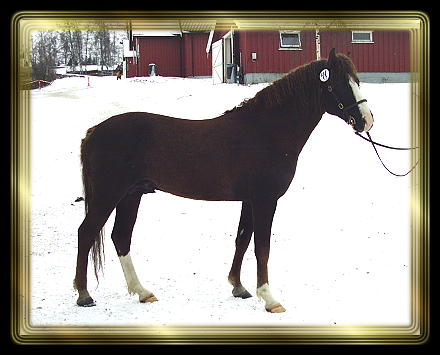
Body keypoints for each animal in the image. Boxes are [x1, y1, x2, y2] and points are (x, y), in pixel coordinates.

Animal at [73, 48, 374, 314]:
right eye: (339, 83)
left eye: (356, 80)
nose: (367, 121)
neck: (267, 131)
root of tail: (93, 131)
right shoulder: (265, 200)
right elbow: (262, 247)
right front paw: (269, 298)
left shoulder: (249, 200)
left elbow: (242, 240)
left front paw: (238, 287)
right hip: (108, 195)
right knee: (86, 233)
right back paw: (84, 295)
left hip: (131, 195)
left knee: (120, 237)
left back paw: (142, 291)